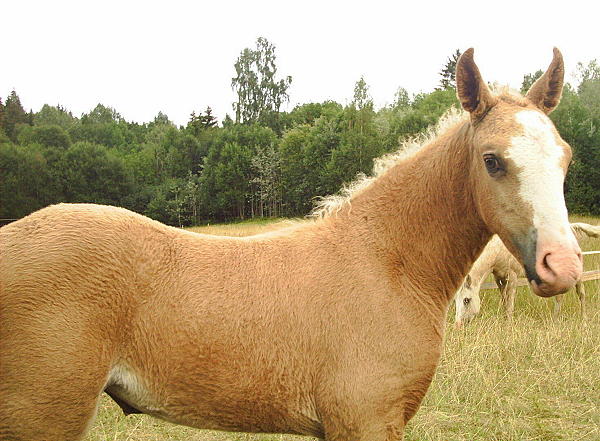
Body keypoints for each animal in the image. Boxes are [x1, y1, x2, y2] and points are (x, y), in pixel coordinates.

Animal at [458, 222, 596, 324]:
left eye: (466, 300)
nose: (459, 324)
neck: (498, 250)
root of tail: (571, 227)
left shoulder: (512, 276)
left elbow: (510, 303)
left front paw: (509, 324)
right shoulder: (499, 278)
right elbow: (504, 300)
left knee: (581, 293)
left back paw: (583, 321)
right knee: (560, 296)